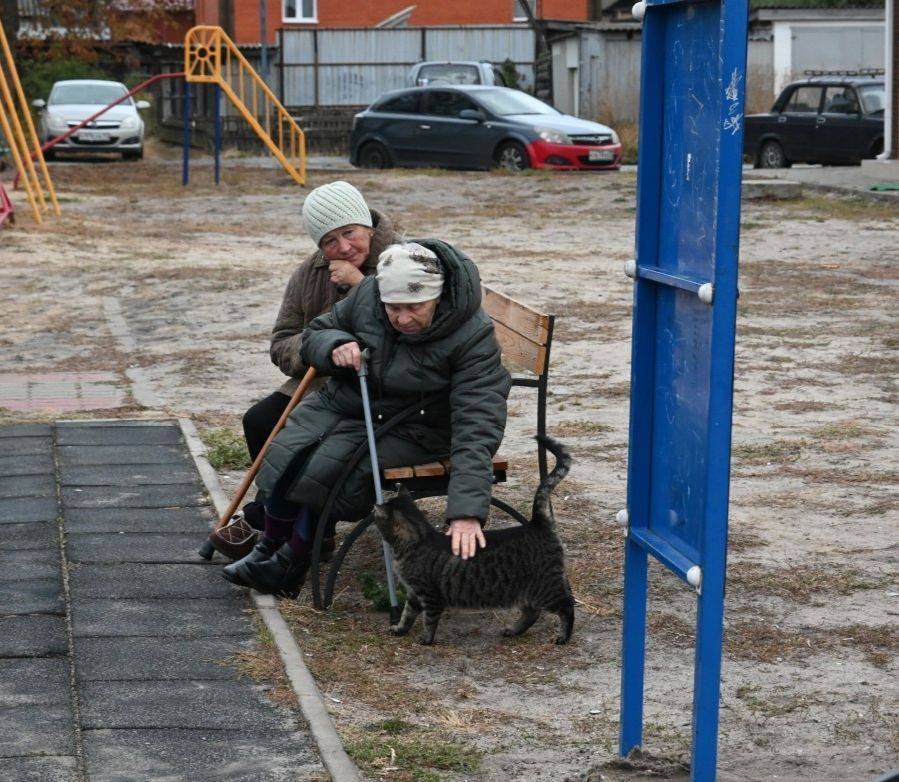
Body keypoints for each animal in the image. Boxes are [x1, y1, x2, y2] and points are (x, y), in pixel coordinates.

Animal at [374, 438, 576, 648]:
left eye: (375, 515)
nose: (372, 510)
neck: (417, 540)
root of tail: (537, 523)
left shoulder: (429, 596)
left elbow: (429, 621)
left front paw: (426, 640)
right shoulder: (414, 594)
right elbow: (407, 615)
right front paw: (399, 629)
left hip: (546, 586)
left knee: (567, 606)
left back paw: (563, 636)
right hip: (523, 591)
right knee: (532, 612)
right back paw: (513, 630)